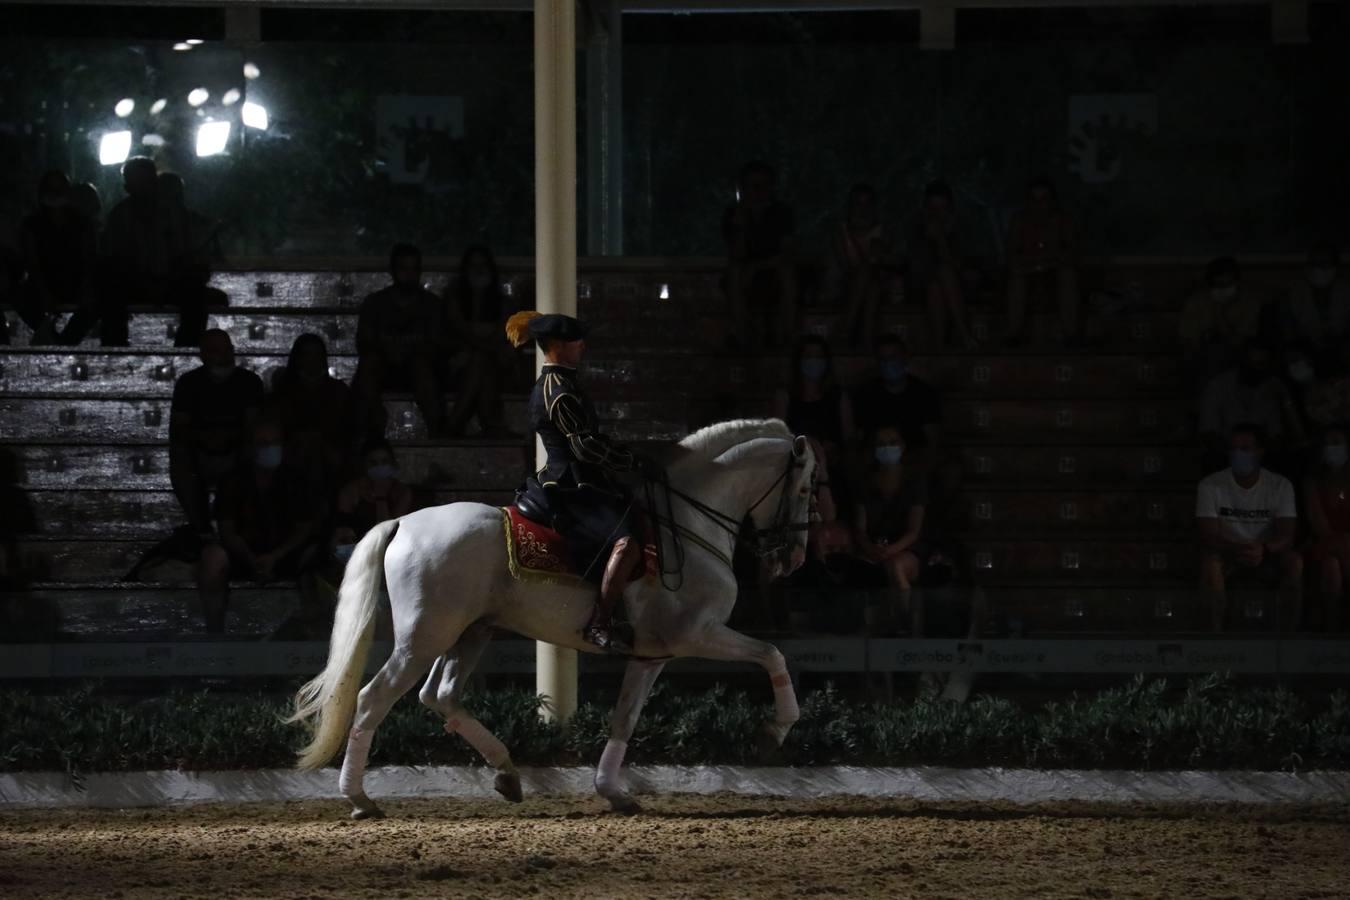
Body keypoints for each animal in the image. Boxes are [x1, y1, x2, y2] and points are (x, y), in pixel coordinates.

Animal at [290, 418, 815, 820]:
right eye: (807, 487)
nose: (793, 558)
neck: (687, 522)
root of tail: (404, 522)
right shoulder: (699, 634)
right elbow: (772, 654)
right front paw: (774, 732)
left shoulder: (651, 655)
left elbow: (625, 717)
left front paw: (613, 792)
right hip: (423, 638)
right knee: (372, 699)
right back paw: (360, 799)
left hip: (469, 632)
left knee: (439, 695)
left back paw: (507, 773)